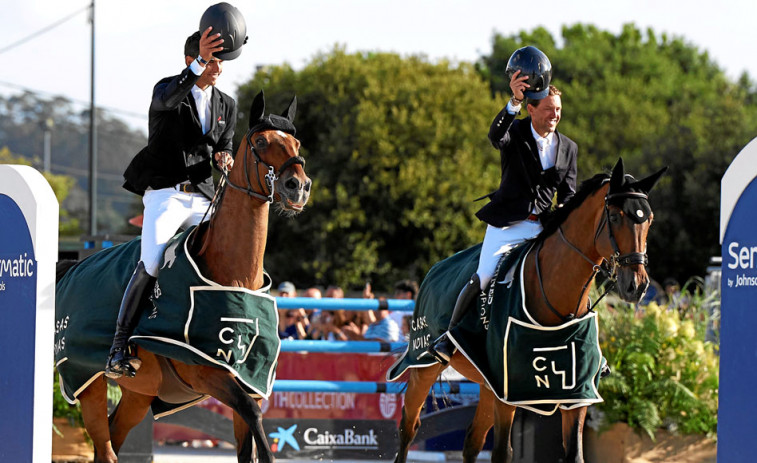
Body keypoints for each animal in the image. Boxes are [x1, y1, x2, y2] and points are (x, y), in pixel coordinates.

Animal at [55, 91, 310, 463]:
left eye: (296, 142)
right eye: (261, 141)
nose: (298, 188)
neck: (234, 277)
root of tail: (72, 270)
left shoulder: (247, 378)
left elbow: (248, 440)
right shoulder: (208, 374)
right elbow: (255, 421)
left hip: (139, 394)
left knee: (114, 437)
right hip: (87, 380)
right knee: (104, 447)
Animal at [392, 158, 664, 462]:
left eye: (649, 220)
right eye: (615, 217)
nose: (637, 286)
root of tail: (433, 271)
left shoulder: (576, 393)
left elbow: (574, 454)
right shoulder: (508, 392)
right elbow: (502, 453)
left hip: (487, 384)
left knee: (472, 441)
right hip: (424, 366)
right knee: (408, 428)